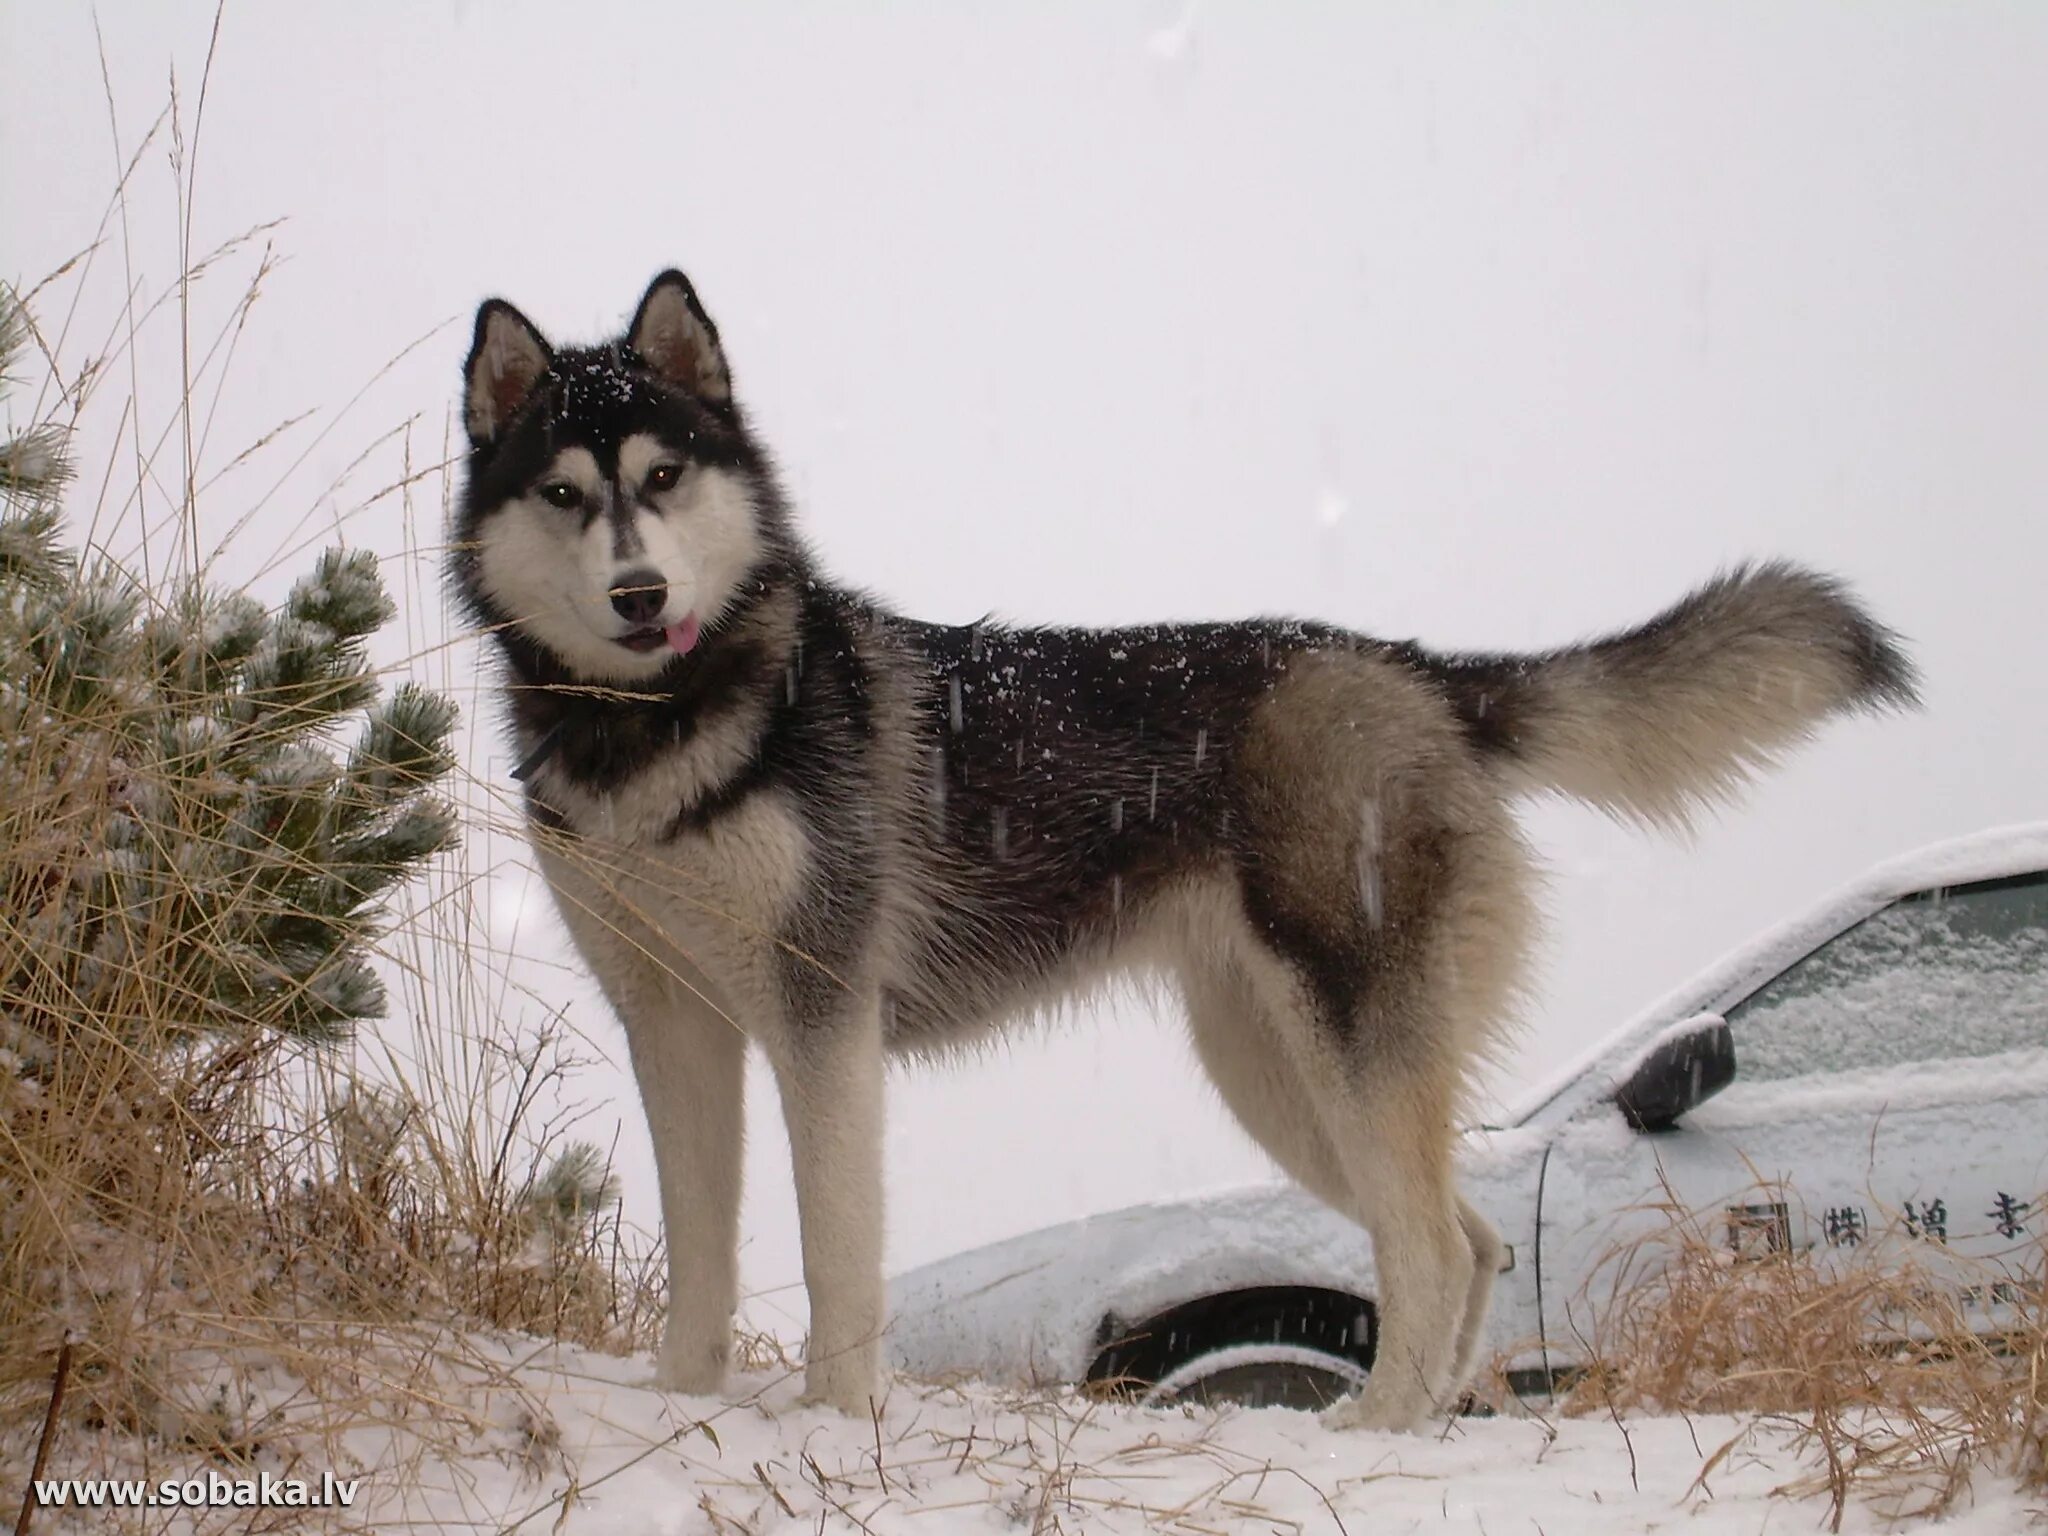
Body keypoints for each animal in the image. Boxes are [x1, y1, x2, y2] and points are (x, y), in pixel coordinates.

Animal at [452, 270, 1916, 1441]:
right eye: (565, 492)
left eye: (663, 478)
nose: (640, 595)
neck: (656, 732)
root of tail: (1414, 671)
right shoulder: (672, 1022)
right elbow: (701, 1252)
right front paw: (680, 1408)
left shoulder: (824, 1017)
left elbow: (833, 1253)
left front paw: (832, 1422)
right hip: (1275, 1074)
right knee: (1471, 1237)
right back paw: (1423, 1423)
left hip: (1342, 1050)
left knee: (1433, 1248)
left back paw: (1365, 1433)